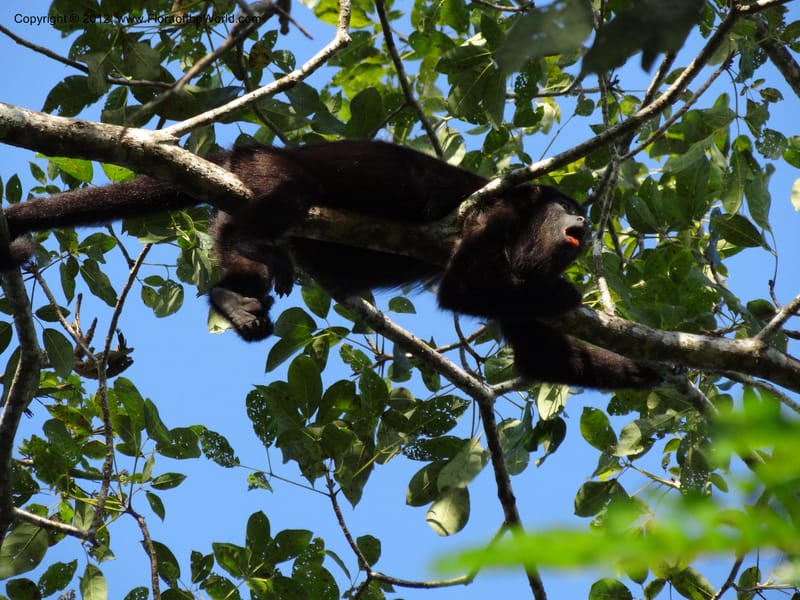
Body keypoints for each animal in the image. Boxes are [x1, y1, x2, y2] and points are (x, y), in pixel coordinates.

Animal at [0, 140, 660, 389]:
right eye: (570, 208)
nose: (584, 226)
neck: (527, 229)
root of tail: (236, 152)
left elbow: (538, 356)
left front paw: (655, 373)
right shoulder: (494, 217)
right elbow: (462, 286)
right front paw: (564, 298)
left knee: (239, 255)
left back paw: (231, 297)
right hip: (266, 172)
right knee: (283, 201)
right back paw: (248, 257)